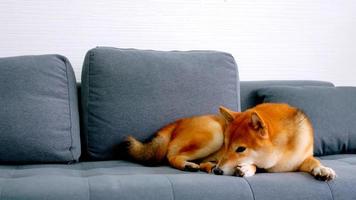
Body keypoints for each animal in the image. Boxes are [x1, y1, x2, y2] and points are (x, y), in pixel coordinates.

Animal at [124, 103, 336, 181]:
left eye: (240, 148)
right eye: (227, 146)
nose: (219, 171)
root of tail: (179, 121)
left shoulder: (302, 157)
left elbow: (314, 161)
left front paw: (323, 170)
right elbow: (255, 165)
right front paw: (246, 169)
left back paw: (207, 167)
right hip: (214, 133)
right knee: (172, 156)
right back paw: (189, 165)